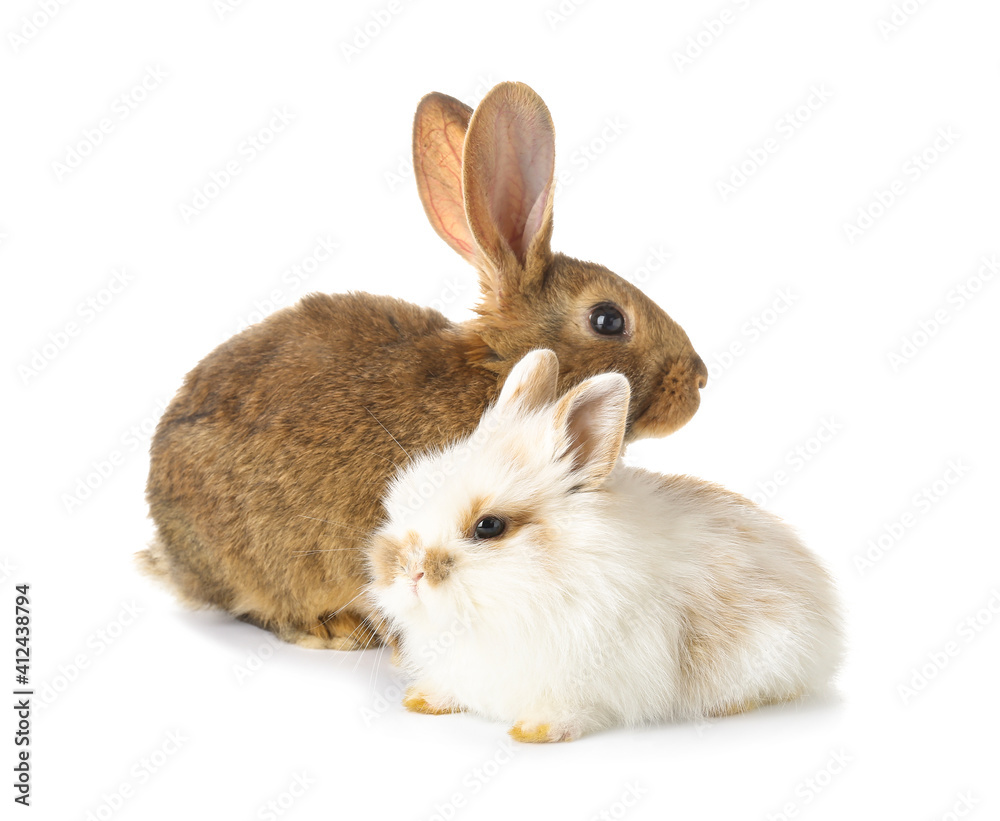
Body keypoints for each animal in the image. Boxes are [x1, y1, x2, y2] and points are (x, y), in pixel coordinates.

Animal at [366, 349, 844, 742]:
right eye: (406, 497)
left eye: (489, 526)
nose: (405, 571)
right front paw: (423, 700)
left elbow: (572, 708)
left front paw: (537, 730)